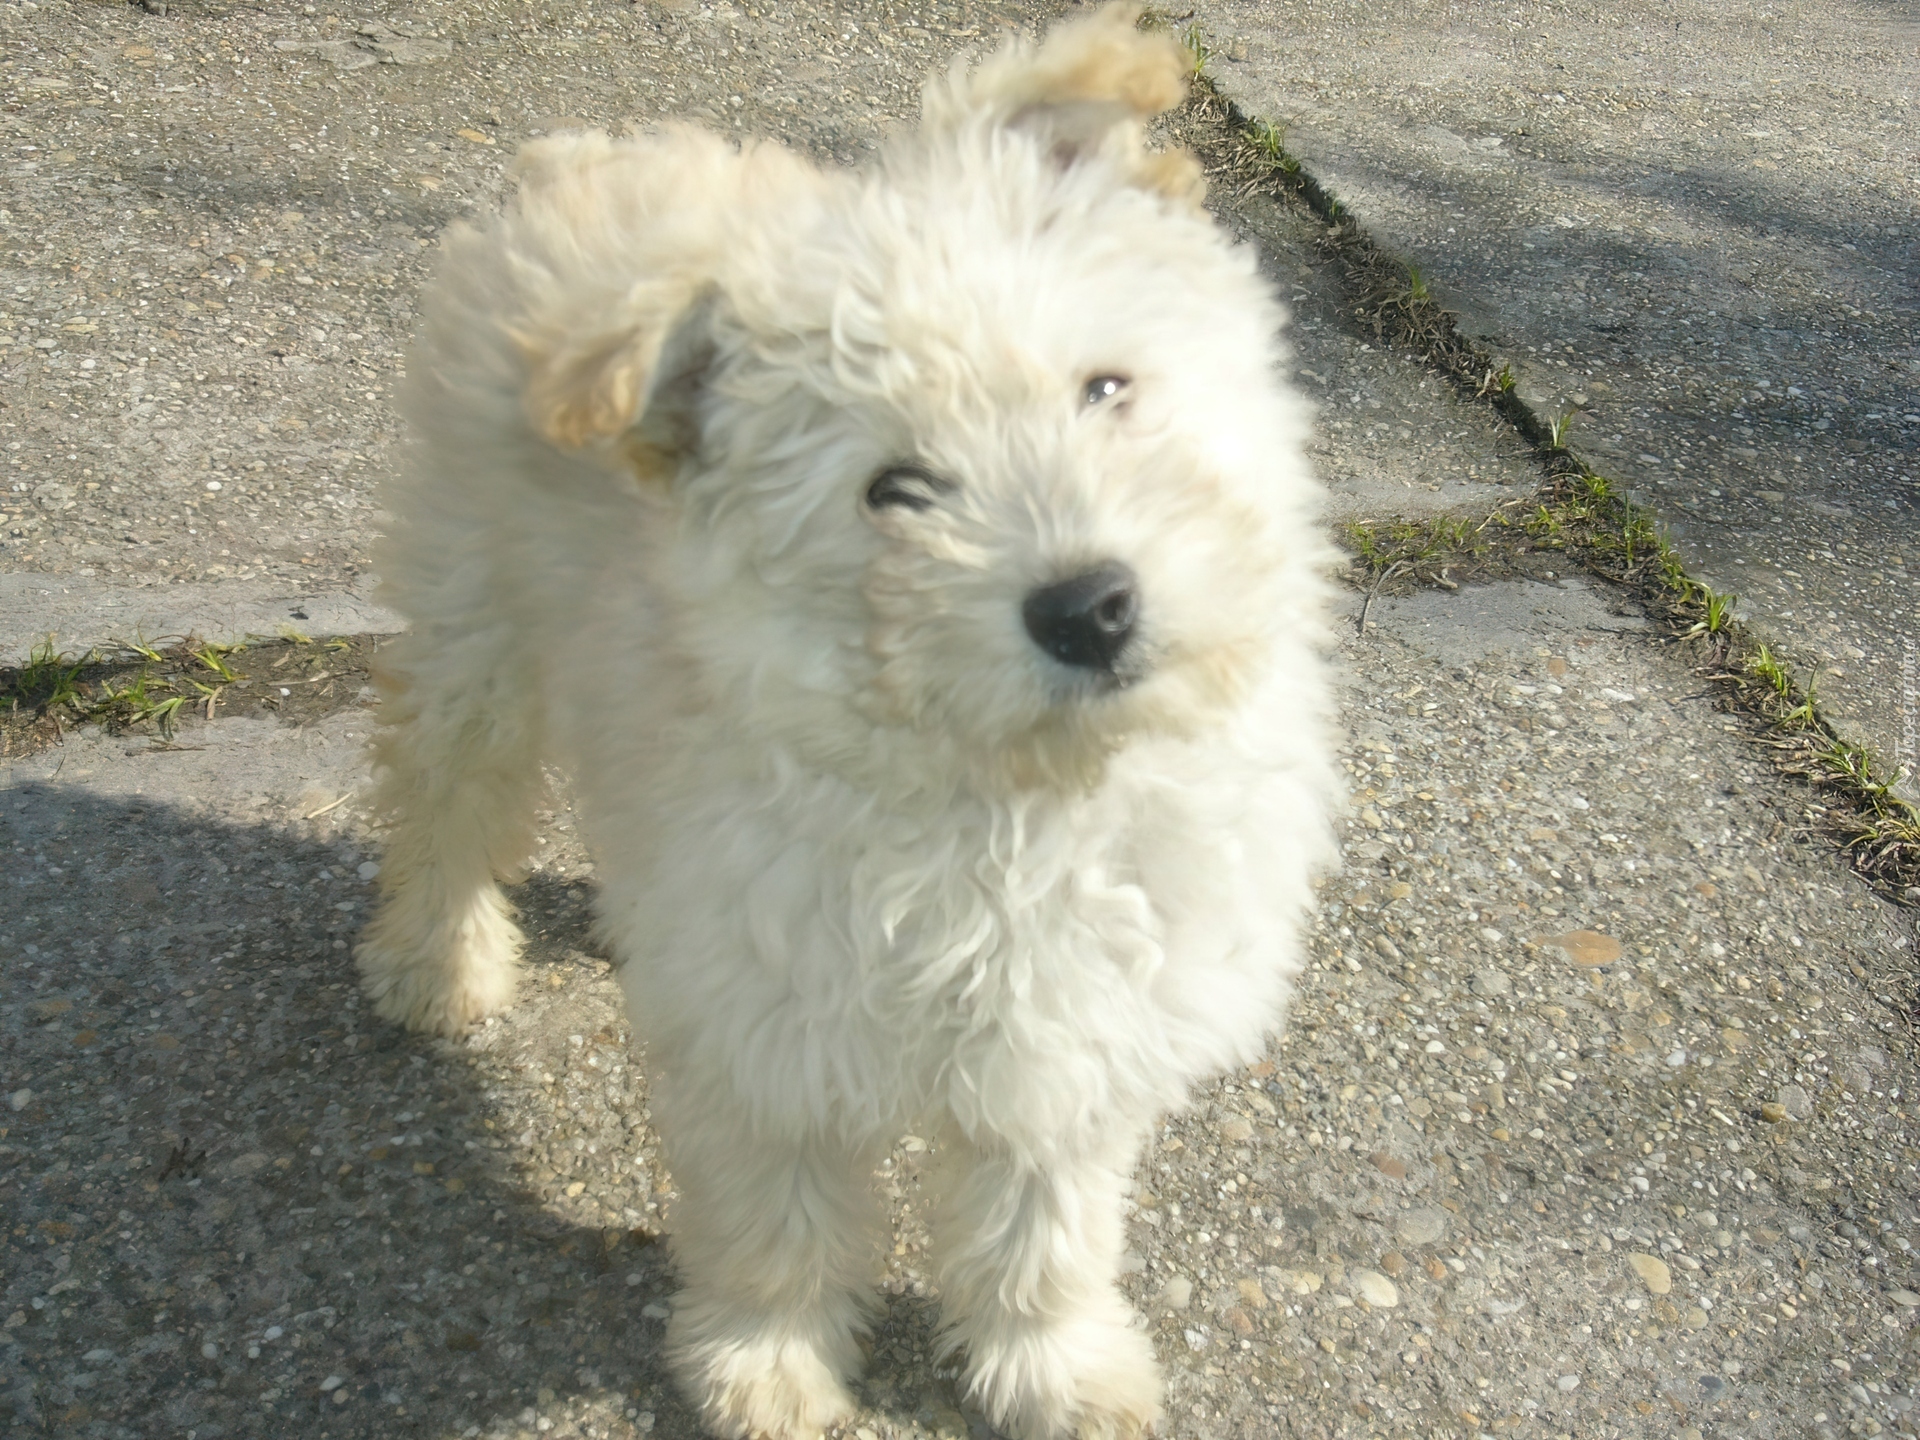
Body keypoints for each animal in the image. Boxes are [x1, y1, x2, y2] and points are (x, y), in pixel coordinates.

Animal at [354, 7, 1338, 1437]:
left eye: (1104, 389)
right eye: (895, 489)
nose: (1090, 607)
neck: (1004, 796)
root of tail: (587, 154)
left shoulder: (1074, 1031)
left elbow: (1045, 1227)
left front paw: (1054, 1367)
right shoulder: (767, 1041)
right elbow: (777, 1224)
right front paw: (768, 1368)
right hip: (472, 612)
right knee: (444, 789)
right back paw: (438, 963)